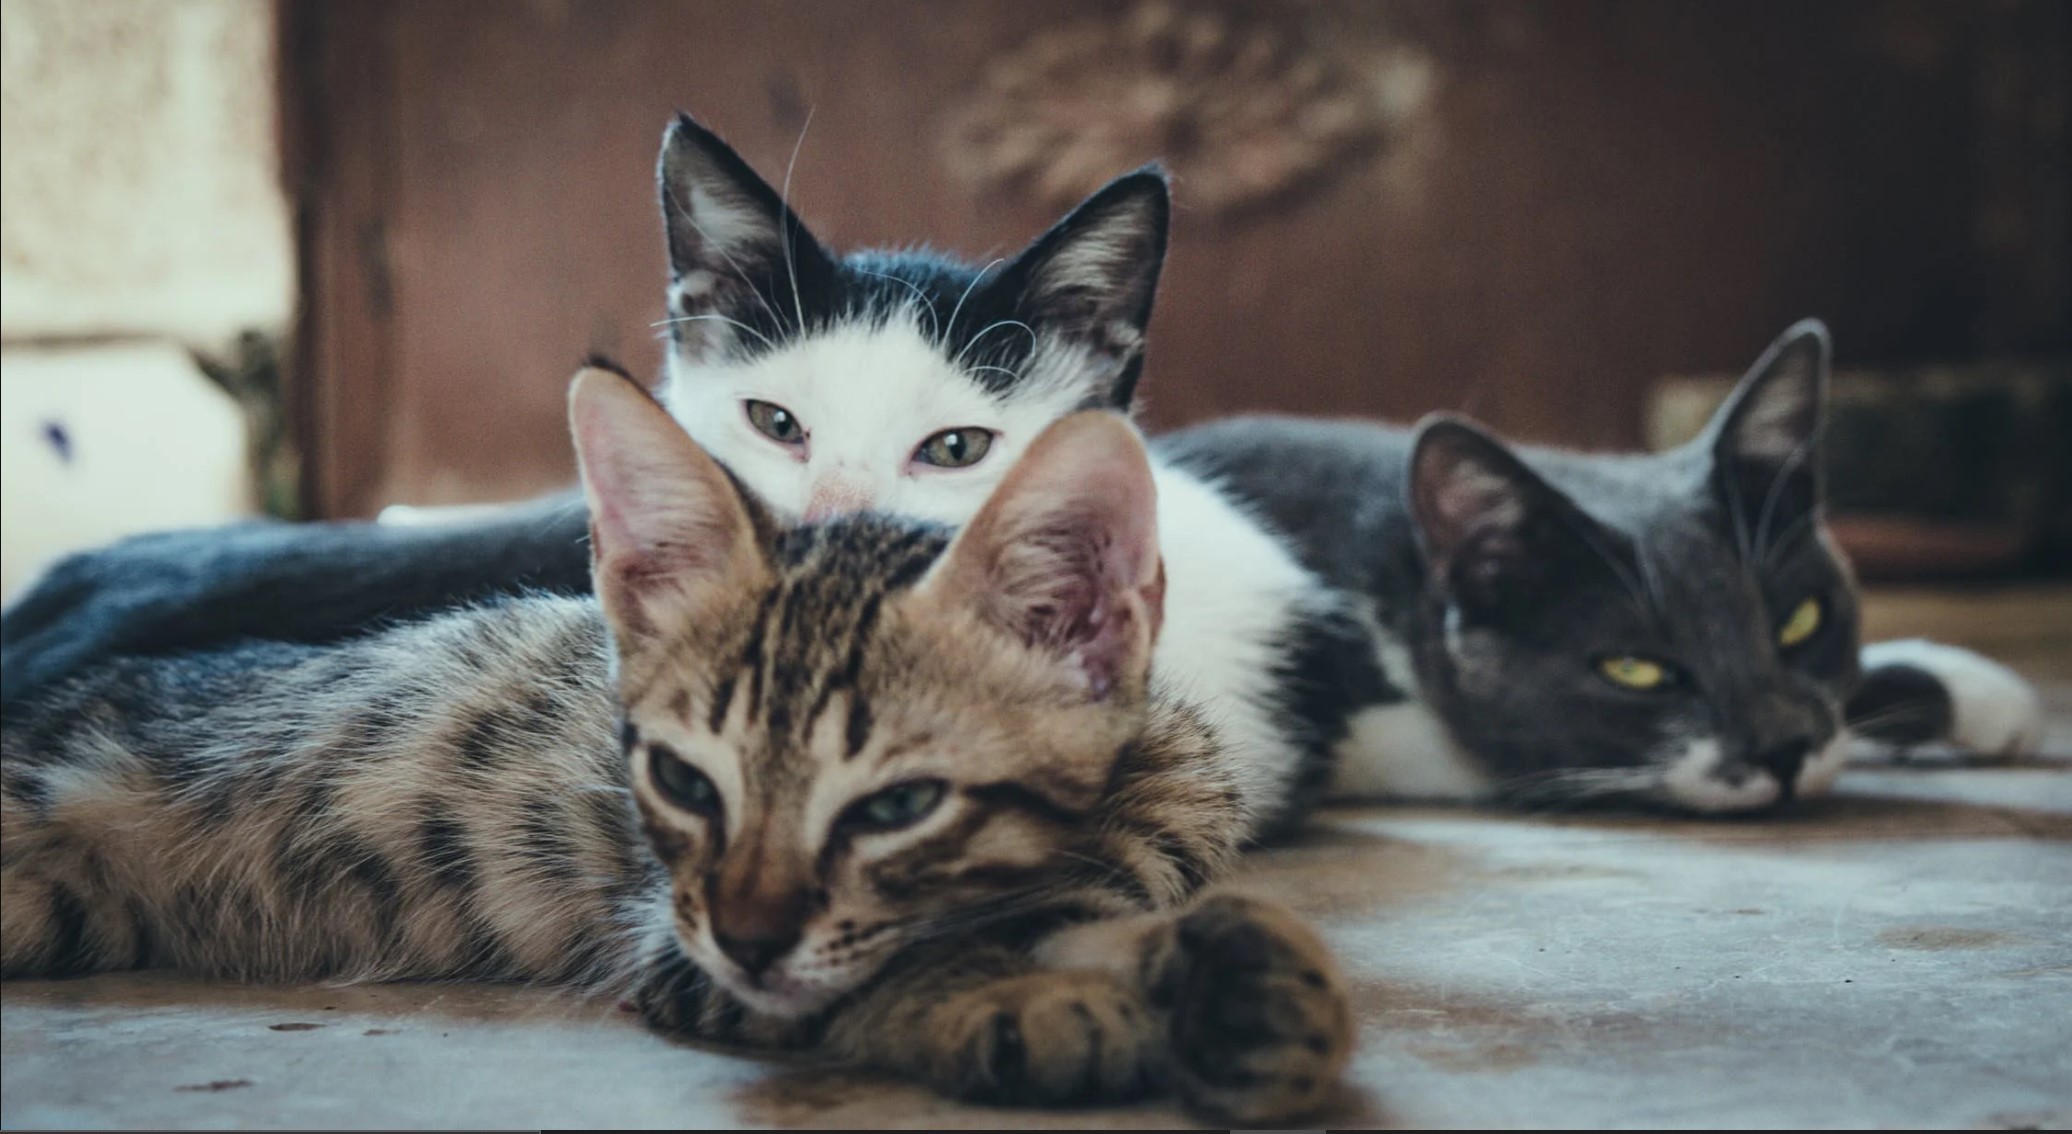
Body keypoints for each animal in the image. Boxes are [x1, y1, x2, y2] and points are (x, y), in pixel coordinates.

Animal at [0, 366, 1350, 1127]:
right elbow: (883, 968)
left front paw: (1235, 992)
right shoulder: (677, 939)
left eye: (894, 805)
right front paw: (1035, 1001)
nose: (750, 934)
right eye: (680, 779)